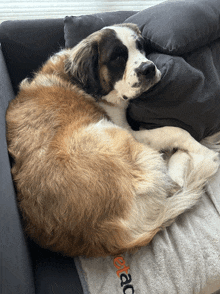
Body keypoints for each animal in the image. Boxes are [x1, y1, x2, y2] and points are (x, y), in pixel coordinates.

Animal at [6, 23, 219, 258]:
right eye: (118, 58)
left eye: (140, 46)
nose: (148, 68)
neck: (77, 80)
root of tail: (108, 236)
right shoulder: (127, 130)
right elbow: (176, 131)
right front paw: (203, 150)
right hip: (117, 138)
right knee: (174, 183)